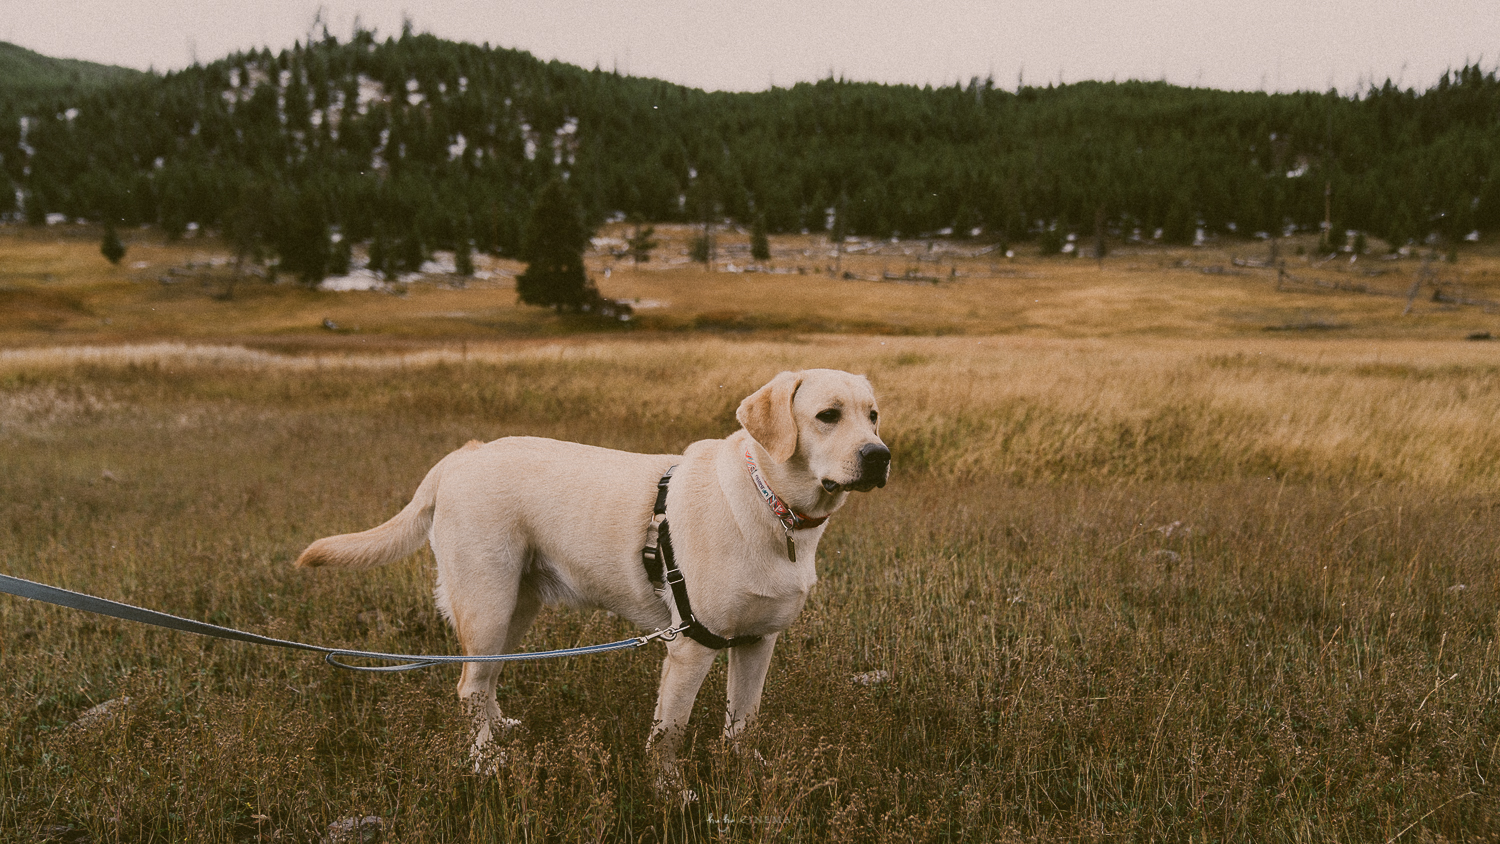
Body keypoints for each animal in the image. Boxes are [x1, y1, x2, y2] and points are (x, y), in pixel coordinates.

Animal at [298, 368, 894, 773]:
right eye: (827, 415)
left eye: (873, 415)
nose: (879, 456)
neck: (773, 507)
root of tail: (462, 455)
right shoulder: (691, 645)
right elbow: (670, 734)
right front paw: (671, 793)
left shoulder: (756, 642)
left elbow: (743, 722)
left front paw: (747, 774)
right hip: (487, 602)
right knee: (469, 685)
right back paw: (486, 761)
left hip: (516, 606)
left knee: (486, 680)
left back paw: (500, 729)